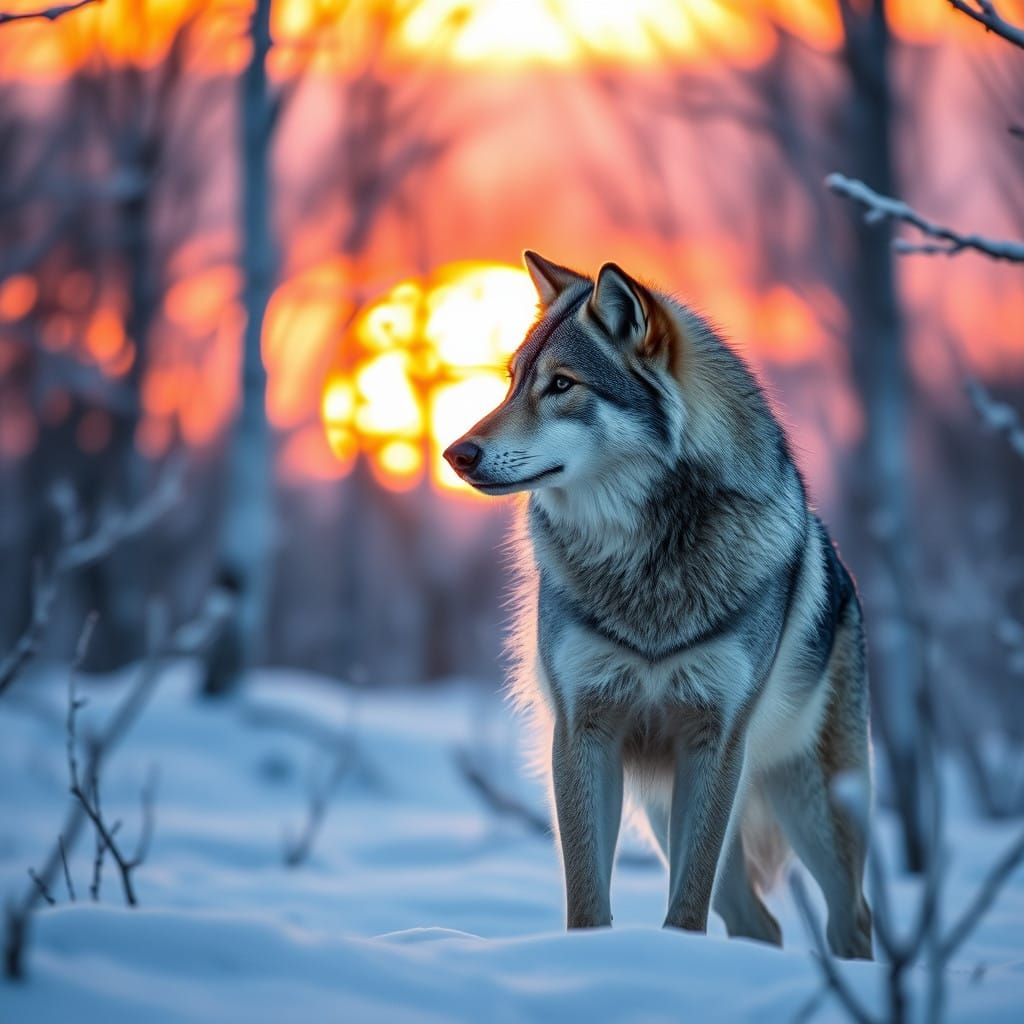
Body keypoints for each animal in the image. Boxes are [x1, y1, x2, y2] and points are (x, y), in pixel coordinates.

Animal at [443, 252, 873, 959]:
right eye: (512, 382)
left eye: (561, 385)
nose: (456, 453)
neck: (644, 564)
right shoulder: (584, 732)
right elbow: (588, 900)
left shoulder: (715, 741)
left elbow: (687, 909)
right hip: (664, 805)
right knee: (761, 922)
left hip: (815, 810)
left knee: (851, 920)